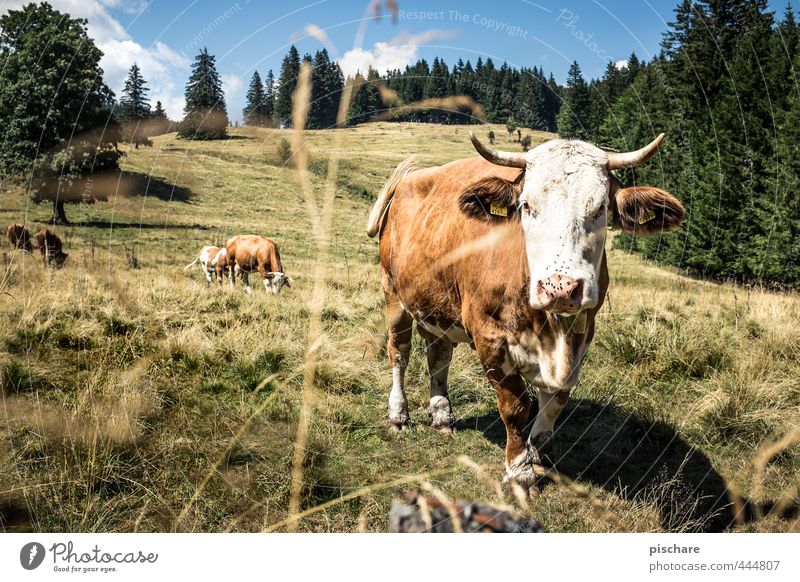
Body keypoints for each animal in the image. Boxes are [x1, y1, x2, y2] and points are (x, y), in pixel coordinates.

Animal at [368, 132, 688, 488]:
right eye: (527, 206)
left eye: (600, 208)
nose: (560, 287)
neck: (549, 330)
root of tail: (411, 178)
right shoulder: (489, 338)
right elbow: (516, 405)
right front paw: (519, 470)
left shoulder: (581, 340)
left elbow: (554, 403)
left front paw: (539, 458)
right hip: (392, 294)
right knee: (399, 353)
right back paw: (398, 414)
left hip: (437, 303)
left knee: (439, 355)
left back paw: (442, 415)